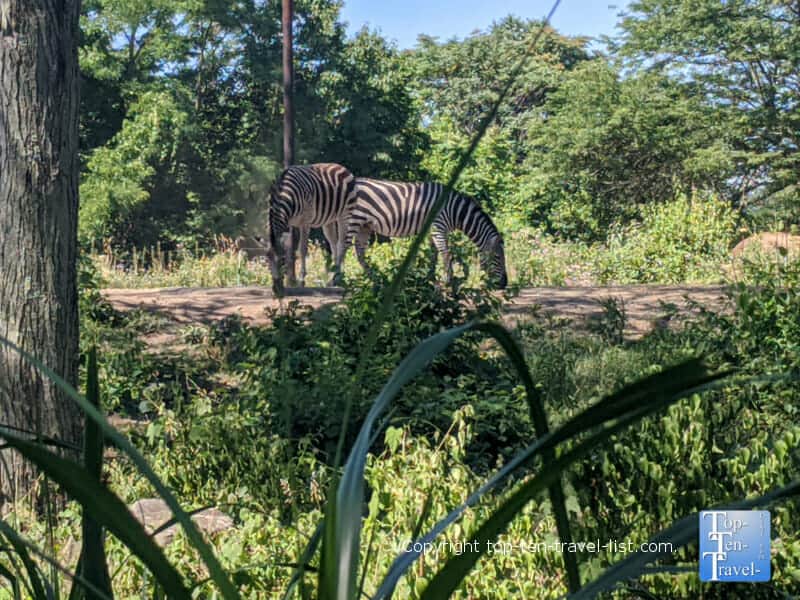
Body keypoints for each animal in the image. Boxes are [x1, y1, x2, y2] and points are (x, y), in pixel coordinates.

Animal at [346, 178, 508, 288]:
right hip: (353, 221)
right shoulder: (438, 227)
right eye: (498, 257)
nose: (504, 284)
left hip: (364, 226)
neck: (456, 211)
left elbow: (433, 255)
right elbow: (446, 254)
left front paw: (430, 278)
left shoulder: (432, 230)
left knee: (360, 253)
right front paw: (448, 281)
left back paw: (375, 279)